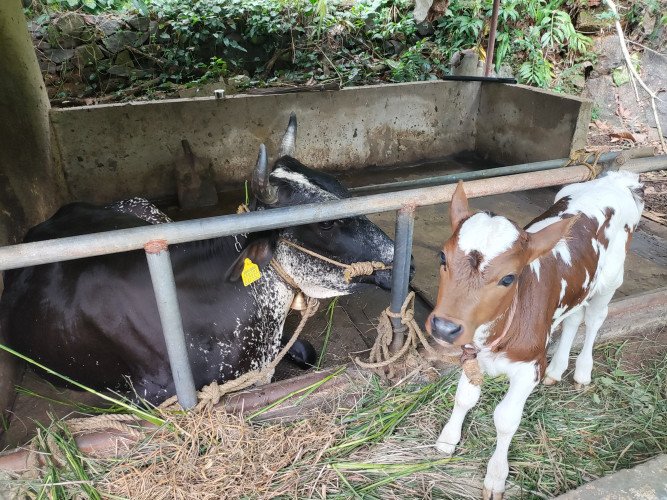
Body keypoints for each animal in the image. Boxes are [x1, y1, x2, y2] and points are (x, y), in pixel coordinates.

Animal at [426, 171, 644, 496]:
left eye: (509, 278)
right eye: (443, 258)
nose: (444, 327)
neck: (496, 337)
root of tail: (618, 179)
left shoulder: (529, 368)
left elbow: (505, 419)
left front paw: (496, 476)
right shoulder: (470, 352)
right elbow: (464, 397)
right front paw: (448, 439)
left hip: (611, 279)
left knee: (594, 319)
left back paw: (582, 372)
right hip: (579, 286)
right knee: (574, 317)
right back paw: (557, 370)